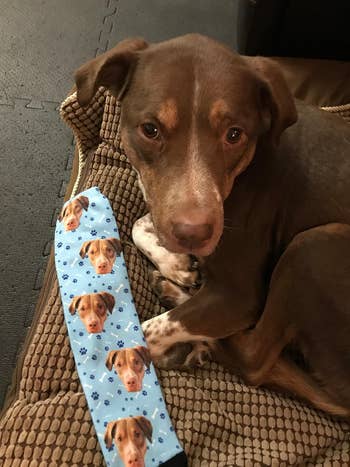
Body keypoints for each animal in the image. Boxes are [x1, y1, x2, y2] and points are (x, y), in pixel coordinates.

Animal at [75, 35, 350, 416]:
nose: (194, 235)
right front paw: (177, 266)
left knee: (253, 359)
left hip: (314, 244)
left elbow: (145, 333)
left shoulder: (239, 297)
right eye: (150, 130)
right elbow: (141, 222)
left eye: (234, 134)